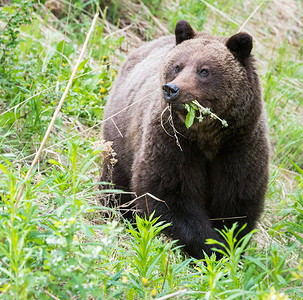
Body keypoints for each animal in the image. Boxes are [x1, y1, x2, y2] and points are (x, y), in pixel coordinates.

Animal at [102, 20, 270, 260]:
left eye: (204, 70)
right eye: (178, 66)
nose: (172, 89)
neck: (208, 138)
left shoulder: (239, 149)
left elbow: (236, 206)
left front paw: (231, 250)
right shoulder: (173, 144)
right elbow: (168, 196)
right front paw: (214, 247)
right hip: (121, 135)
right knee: (116, 181)